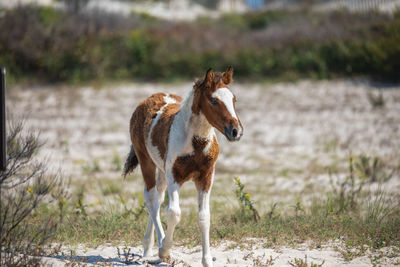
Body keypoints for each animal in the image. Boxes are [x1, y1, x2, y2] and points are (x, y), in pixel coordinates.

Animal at [122, 66, 242, 266]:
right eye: (214, 101)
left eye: (234, 99)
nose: (236, 131)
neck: (196, 143)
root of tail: (149, 98)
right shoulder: (174, 176)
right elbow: (174, 213)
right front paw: (164, 250)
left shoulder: (206, 177)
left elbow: (204, 217)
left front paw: (207, 260)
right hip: (147, 161)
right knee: (151, 199)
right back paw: (156, 246)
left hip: (161, 169)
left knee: (158, 198)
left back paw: (147, 248)